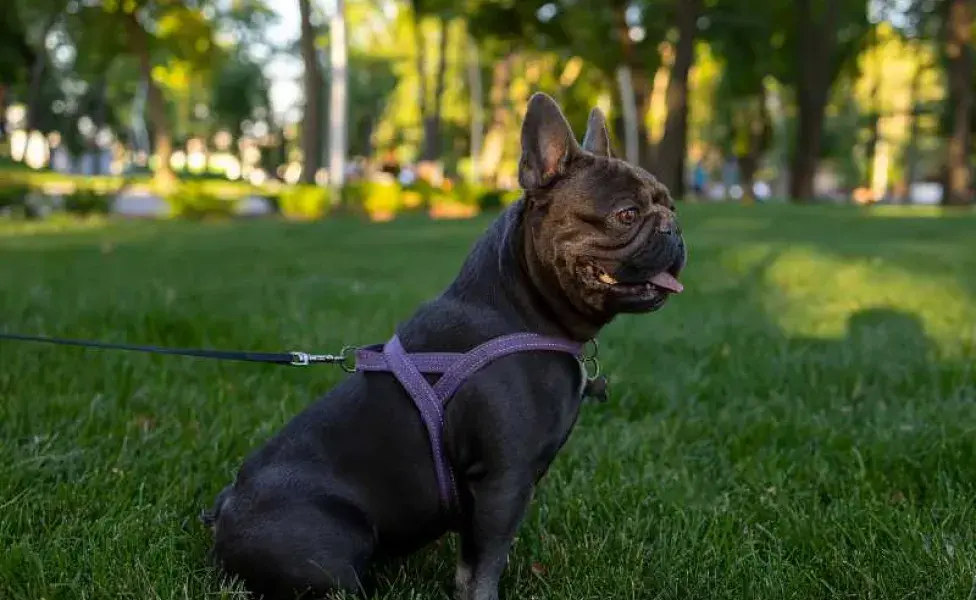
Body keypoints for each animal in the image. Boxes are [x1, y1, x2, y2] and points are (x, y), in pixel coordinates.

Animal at [202, 92, 684, 600]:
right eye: (627, 215)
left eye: (670, 205)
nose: (673, 227)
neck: (522, 307)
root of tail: (223, 512)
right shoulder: (504, 481)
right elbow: (484, 566)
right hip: (328, 555)